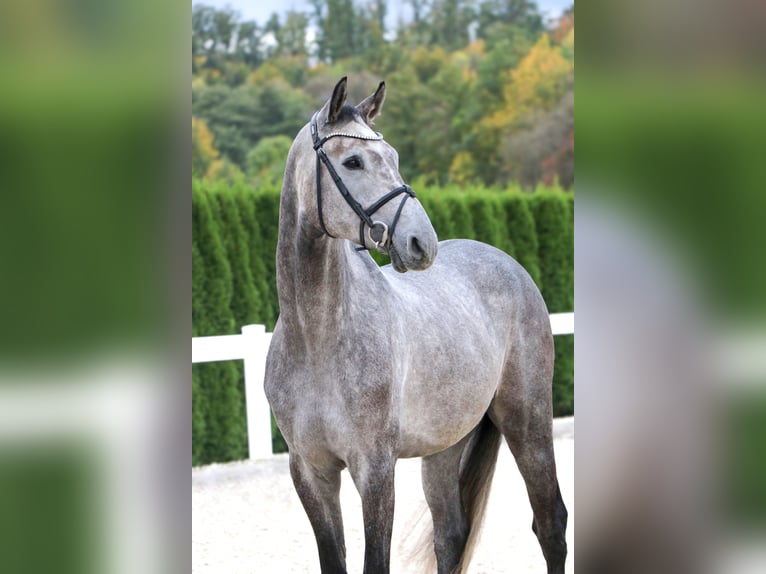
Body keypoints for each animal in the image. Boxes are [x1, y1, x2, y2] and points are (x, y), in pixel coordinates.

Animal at [266, 77, 568, 574]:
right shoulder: (310, 471)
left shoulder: (374, 468)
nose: (421, 242)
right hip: (445, 446)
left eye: (393, 156)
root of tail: (509, 265)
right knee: (451, 534)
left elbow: (376, 561)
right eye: (352, 161)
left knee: (550, 524)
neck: (318, 338)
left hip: (528, 419)